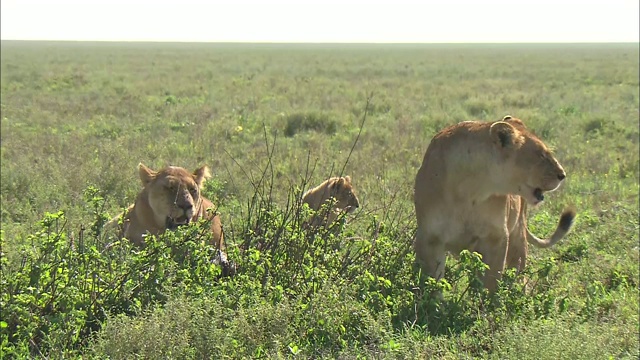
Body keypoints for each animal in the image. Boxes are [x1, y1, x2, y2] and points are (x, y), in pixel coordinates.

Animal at [412, 116, 576, 292]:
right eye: (541, 155)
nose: (562, 175)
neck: (470, 190)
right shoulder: (430, 238)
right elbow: (432, 283)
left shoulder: (496, 238)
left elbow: (491, 282)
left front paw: (488, 299)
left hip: (517, 236)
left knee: (520, 273)